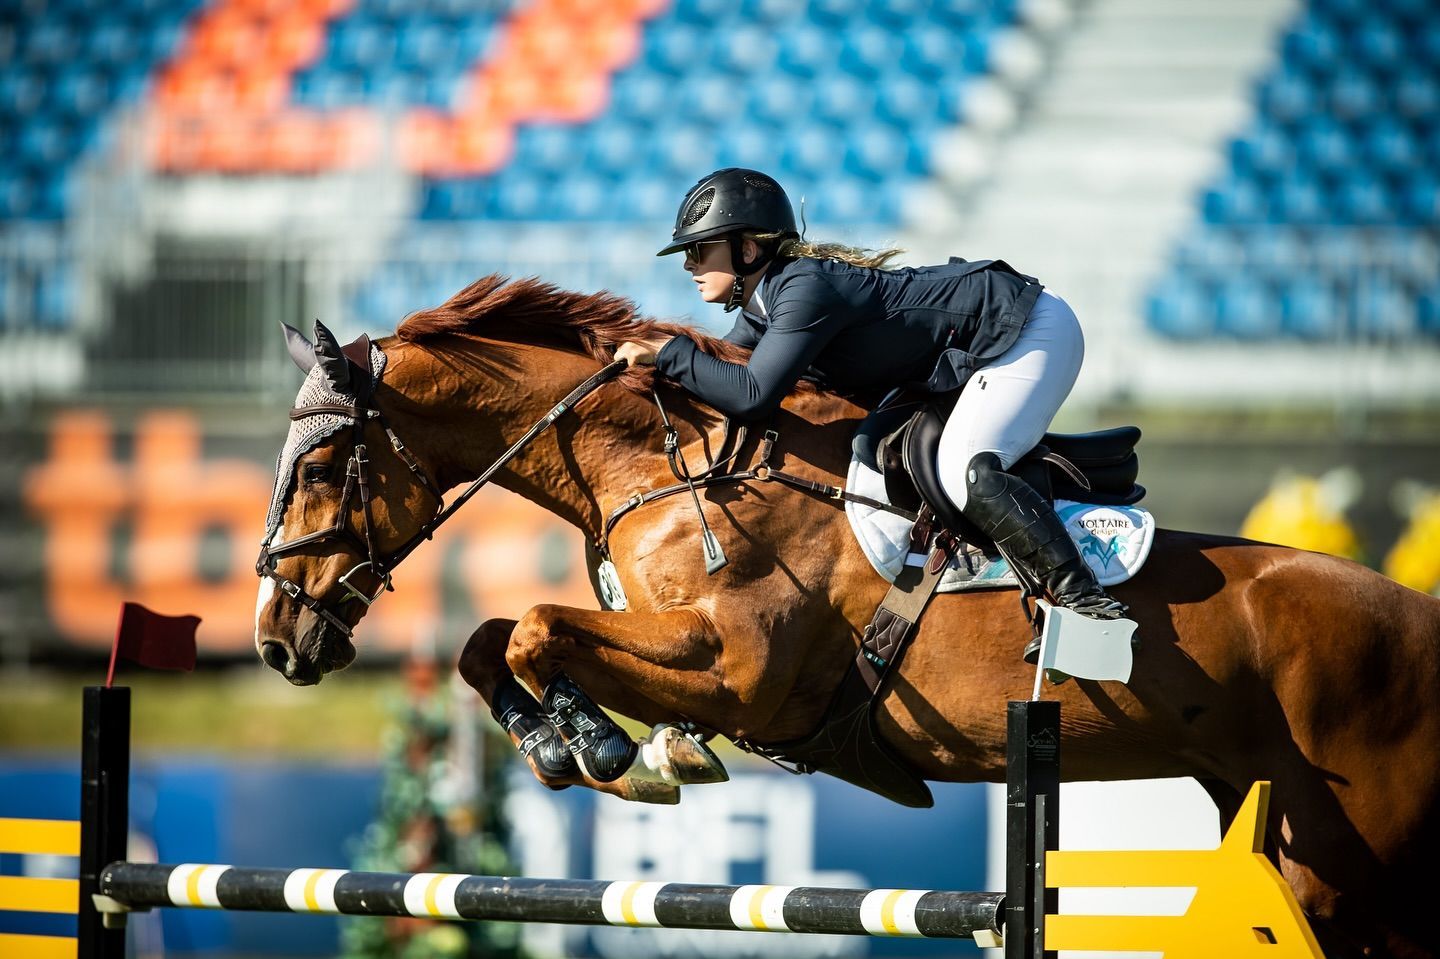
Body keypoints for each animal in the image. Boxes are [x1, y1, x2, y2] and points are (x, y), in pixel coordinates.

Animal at [253, 275, 1440, 959]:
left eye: (316, 464)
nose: (275, 638)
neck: (675, 463)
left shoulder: (741, 673)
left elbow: (538, 627)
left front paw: (608, 747)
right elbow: (488, 639)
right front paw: (572, 740)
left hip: (1364, 863)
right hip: (1301, 853)